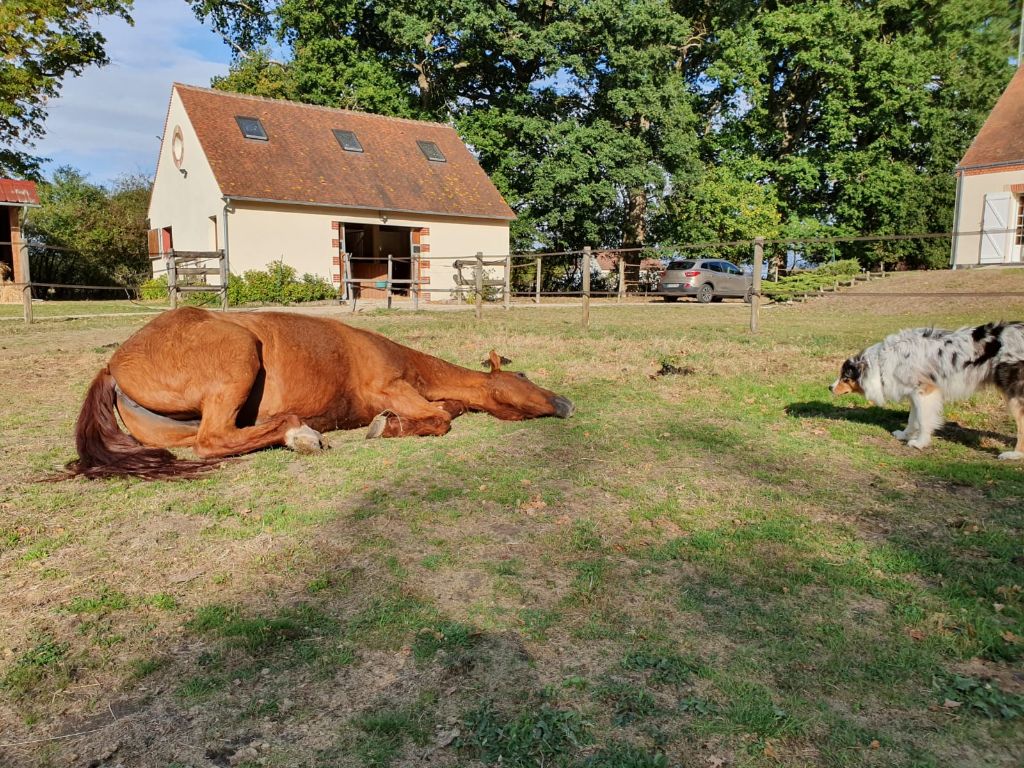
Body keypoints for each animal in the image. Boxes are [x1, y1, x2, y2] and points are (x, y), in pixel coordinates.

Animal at [67, 309, 573, 481]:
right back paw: (301, 435)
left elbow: (445, 409)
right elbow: (441, 418)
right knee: (213, 442)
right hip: (239, 357)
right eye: (523, 373)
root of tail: (113, 365)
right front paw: (385, 427)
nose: (565, 403)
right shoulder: (392, 387)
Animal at [831, 321, 1024, 460]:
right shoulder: (914, 394)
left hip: (1014, 395)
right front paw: (905, 435)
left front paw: (920, 443)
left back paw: (1014, 455)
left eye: (845, 378)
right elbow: (912, 419)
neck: (881, 362)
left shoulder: (925, 391)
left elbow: (924, 421)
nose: (829, 387)